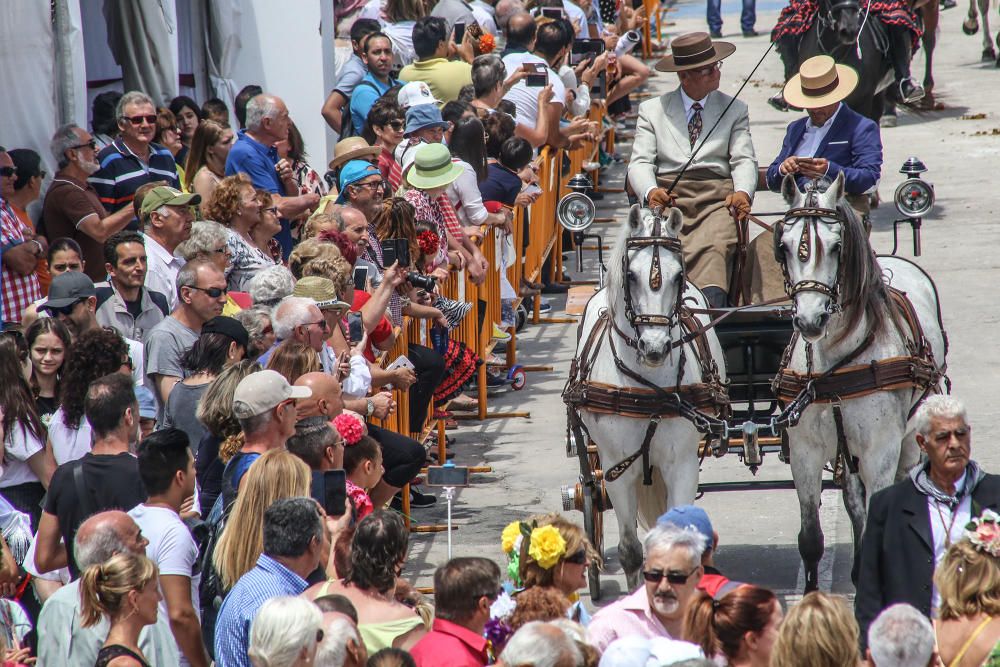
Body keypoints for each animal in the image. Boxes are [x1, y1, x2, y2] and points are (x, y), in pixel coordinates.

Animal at [572, 205, 728, 588]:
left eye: (678, 275)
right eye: (630, 275)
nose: (654, 348)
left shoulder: (682, 463)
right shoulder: (617, 467)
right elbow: (630, 550)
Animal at [776, 172, 948, 588]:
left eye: (837, 247)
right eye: (784, 246)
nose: (810, 320)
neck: (834, 362)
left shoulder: (879, 450)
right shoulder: (804, 452)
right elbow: (811, 539)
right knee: (853, 499)